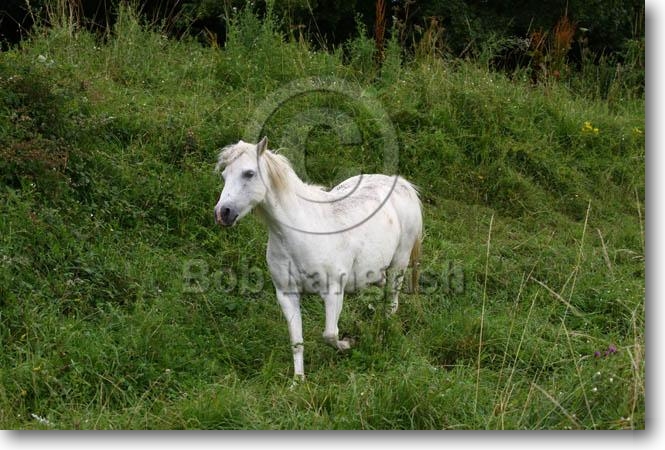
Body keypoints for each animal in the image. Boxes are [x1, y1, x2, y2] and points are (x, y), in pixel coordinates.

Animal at [213, 137, 423, 378]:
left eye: (249, 173)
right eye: (224, 175)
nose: (222, 213)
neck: (299, 233)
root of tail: (400, 184)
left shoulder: (333, 292)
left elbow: (330, 335)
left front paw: (347, 344)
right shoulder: (287, 295)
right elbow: (296, 342)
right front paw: (298, 380)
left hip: (399, 264)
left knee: (391, 302)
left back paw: (384, 331)